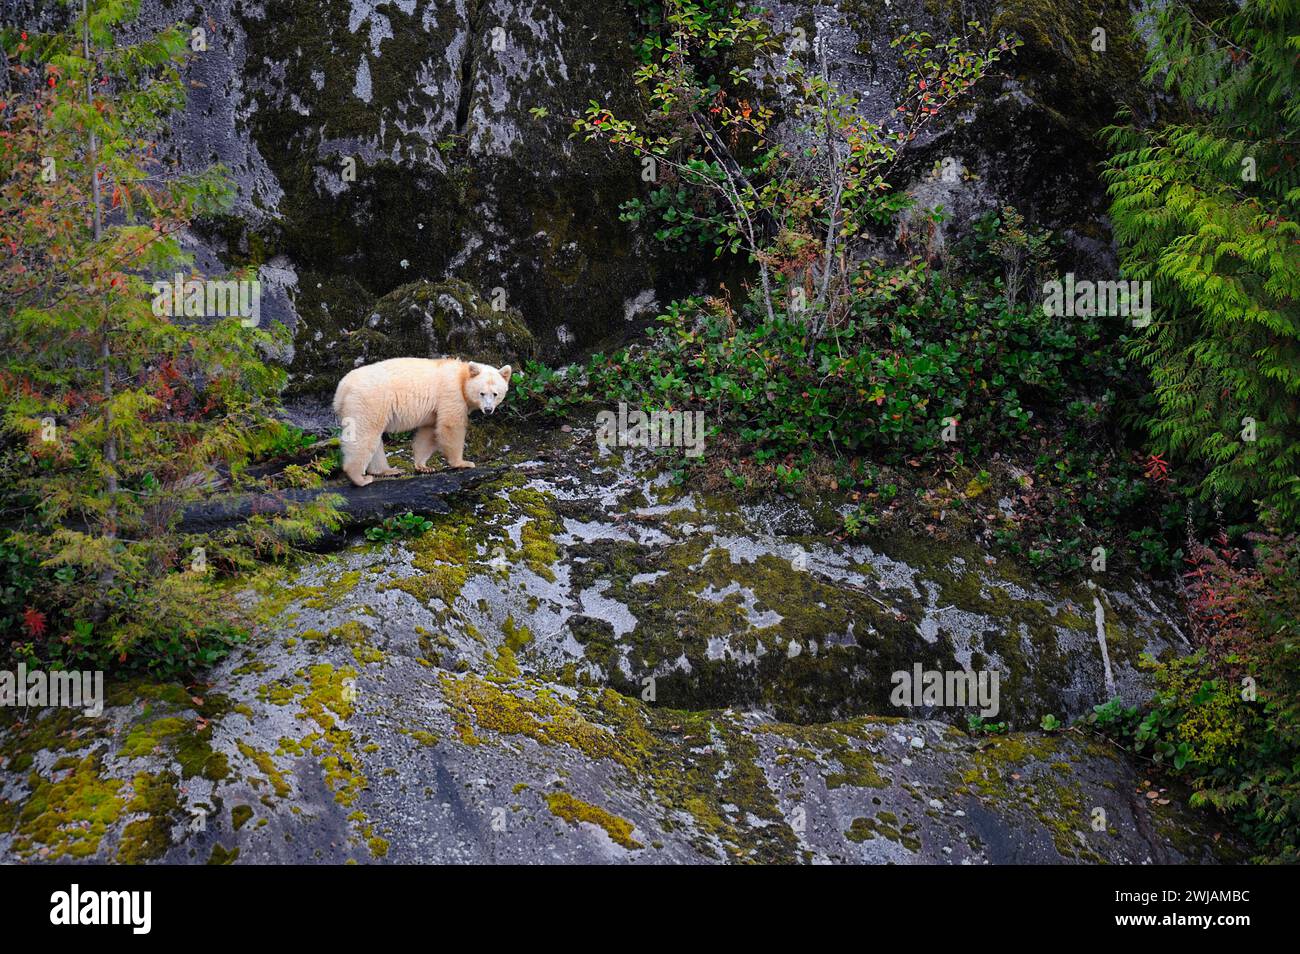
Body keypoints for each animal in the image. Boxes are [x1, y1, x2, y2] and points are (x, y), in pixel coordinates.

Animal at [332, 357, 512, 487]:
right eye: (482, 393)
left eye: (495, 394)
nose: (488, 409)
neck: (461, 376)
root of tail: (342, 388)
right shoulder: (451, 394)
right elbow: (450, 425)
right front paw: (463, 463)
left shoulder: (434, 410)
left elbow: (428, 432)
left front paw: (424, 466)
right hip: (370, 401)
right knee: (365, 434)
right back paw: (360, 478)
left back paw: (388, 470)